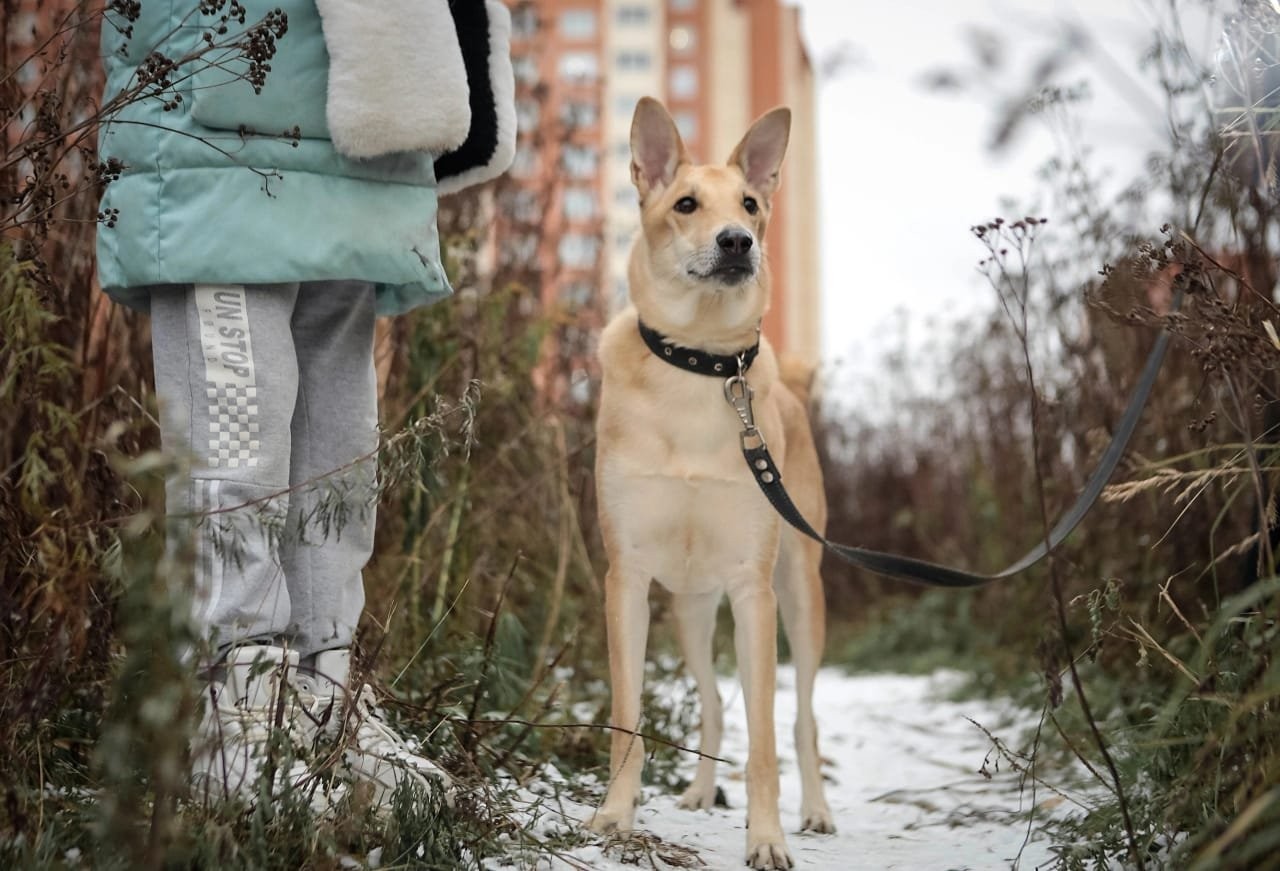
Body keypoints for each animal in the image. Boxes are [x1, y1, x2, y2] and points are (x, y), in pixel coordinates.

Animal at [586, 98, 829, 865]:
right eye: (685, 204)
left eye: (751, 204)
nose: (737, 242)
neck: (699, 363)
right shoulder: (627, 578)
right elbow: (628, 715)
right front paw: (614, 816)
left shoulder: (755, 590)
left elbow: (767, 739)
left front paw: (768, 838)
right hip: (689, 607)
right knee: (715, 701)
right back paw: (696, 792)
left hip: (802, 590)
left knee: (803, 716)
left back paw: (816, 810)